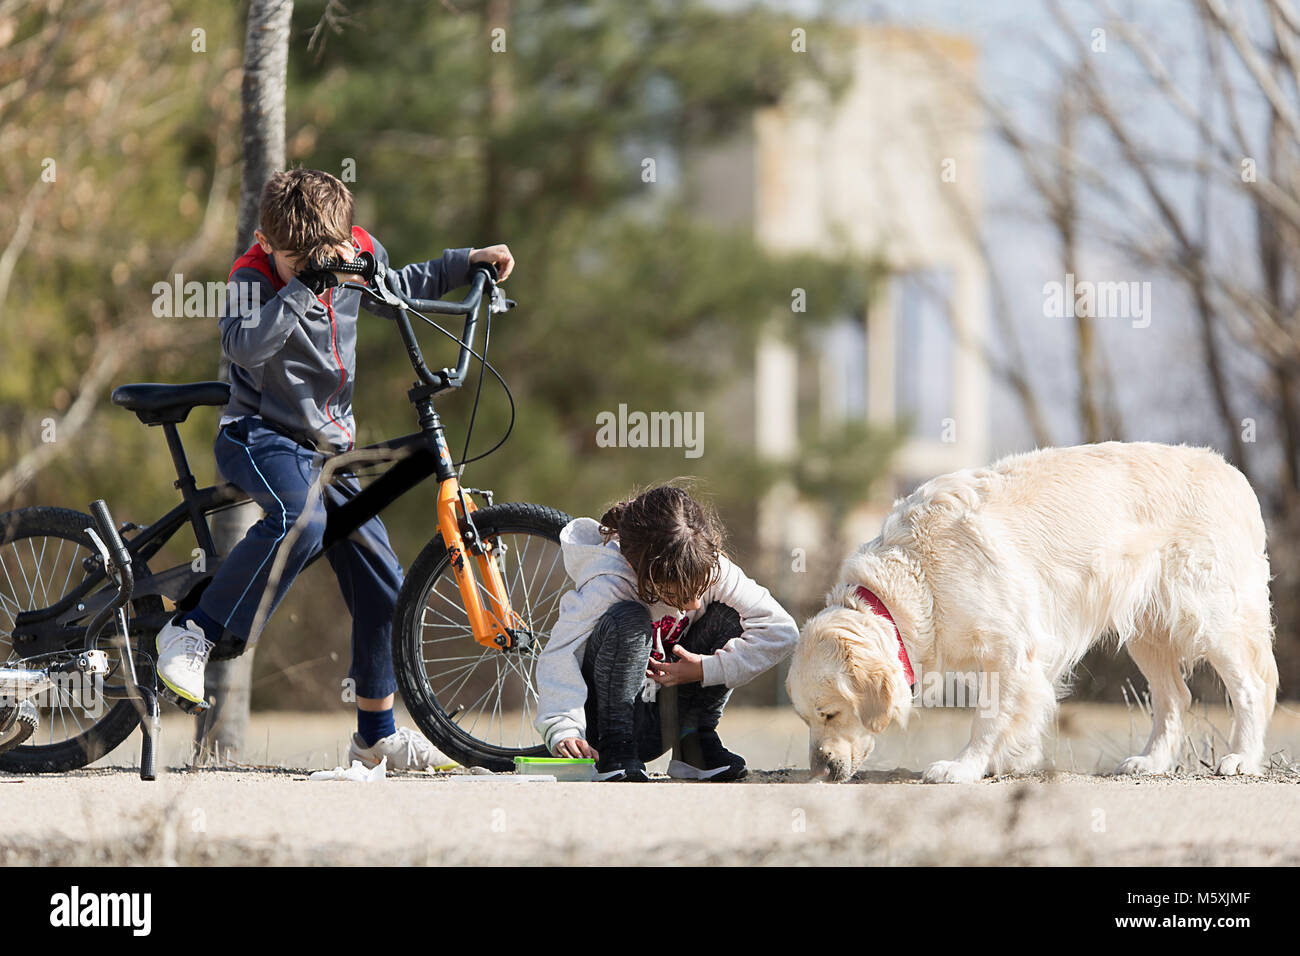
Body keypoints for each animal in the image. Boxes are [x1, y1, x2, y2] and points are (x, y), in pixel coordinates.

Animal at [785, 442, 1274, 785]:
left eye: (829, 713)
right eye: (806, 719)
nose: (822, 772)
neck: (911, 582)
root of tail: (1234, 475)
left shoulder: (1011, 650)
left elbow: (987, 718)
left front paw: (965, 767)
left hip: (1210, 617)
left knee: (1251, 687)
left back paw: (1242, 758)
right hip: (1147, 630)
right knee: (1175, 697)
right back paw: (1151, 760)